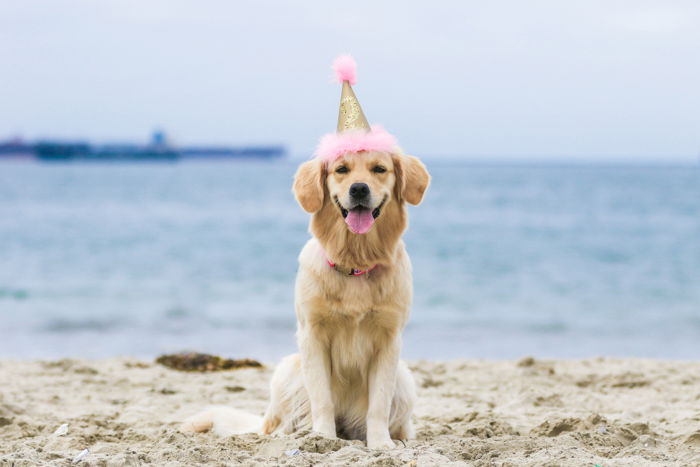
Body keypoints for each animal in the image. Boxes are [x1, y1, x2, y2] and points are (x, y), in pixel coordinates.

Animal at [180, 151, 430, 450]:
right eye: (341, 169)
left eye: (379, 169)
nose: (359, 188)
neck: (355, 263)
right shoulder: (313, 334)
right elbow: (322, 399)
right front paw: (323, 437)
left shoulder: (389, 338)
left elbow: (379, 402)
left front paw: (381, 444)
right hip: (287, 369)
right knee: (278, 425)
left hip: (405, 379)